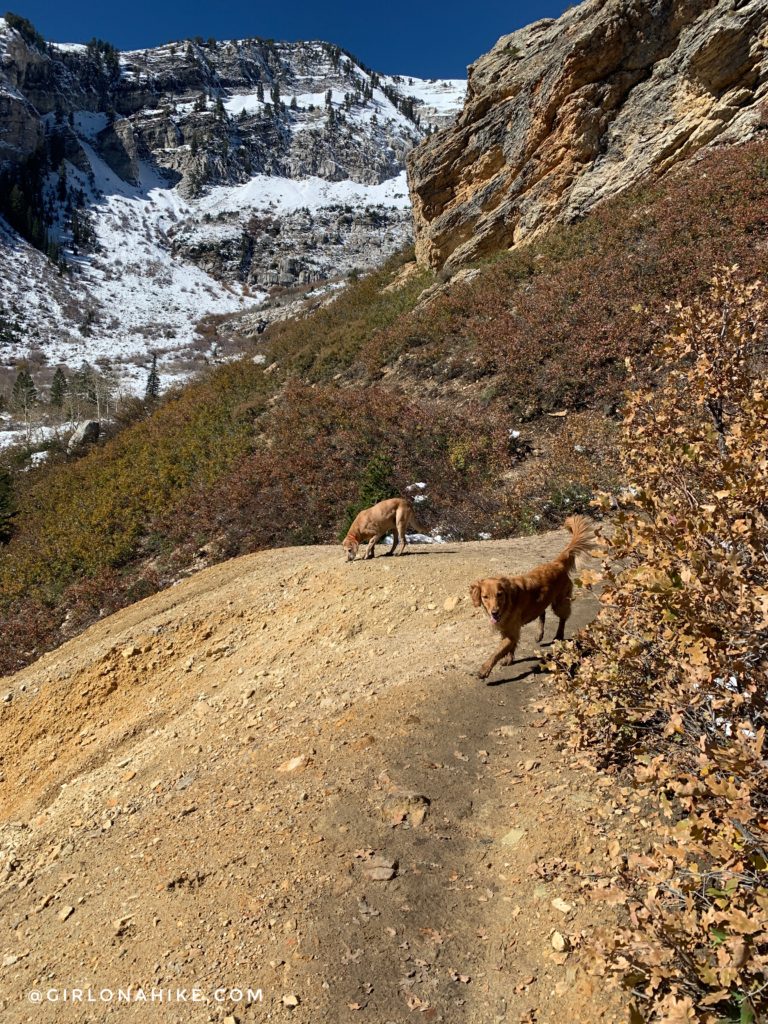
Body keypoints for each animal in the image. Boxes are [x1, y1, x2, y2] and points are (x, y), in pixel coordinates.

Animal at [468, 520, 602, 679]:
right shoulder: (507, 630)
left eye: (499, 594)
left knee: (562, 618)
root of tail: (557, 563)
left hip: (559, 602)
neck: (507, 604)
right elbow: (509, 647)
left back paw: (558, 635)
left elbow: (497, 652)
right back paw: (539, 634)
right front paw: (509, 659)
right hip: (540, 602)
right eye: (485, 597)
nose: (494, 612)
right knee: (542, 613)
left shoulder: (511, 631)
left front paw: (485, 669)